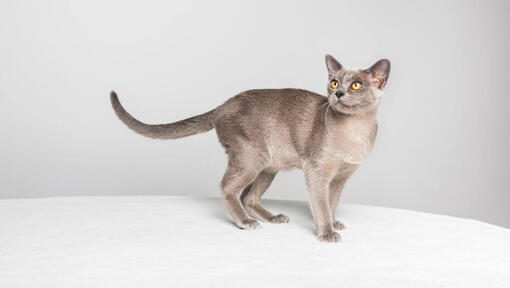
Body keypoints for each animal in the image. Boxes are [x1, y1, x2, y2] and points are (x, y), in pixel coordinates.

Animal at [110, 55, 390, 242]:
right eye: (333, 83)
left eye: (356, 85)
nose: (338, 94)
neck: (356, 129)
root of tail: (223, 105)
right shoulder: (317, 173)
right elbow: (321, 205)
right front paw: (326, 232)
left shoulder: (341, 177)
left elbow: (332, 203)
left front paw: (333, 223)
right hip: (251, 159)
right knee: (227, 187)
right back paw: (245, 222)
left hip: (269, 166)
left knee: (249, 197)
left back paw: (273, 217)